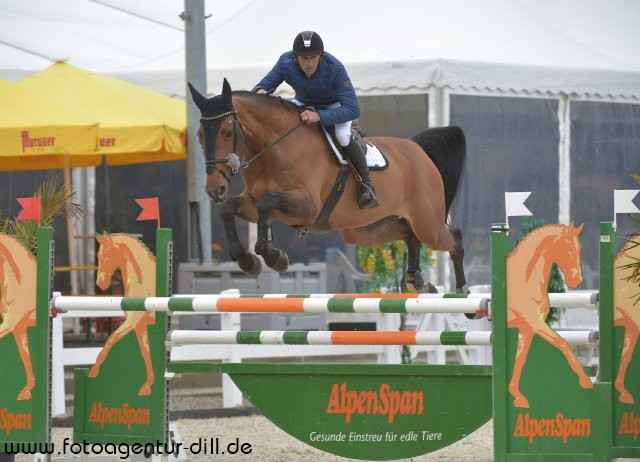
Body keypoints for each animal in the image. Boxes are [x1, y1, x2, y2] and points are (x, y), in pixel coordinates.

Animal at [89, 235, 158, 398]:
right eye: (97, 256)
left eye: (107, 256)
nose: (100, 284)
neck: (142, 281)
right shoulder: (140, 326)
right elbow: (146, 353)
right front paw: (147, 386)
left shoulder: (131, 322)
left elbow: (111, 339)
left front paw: (94, 371)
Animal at [188, 77, 468, 290]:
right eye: (199, 135)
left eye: (227, 132)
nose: (214, 189)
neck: (274, 149)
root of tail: (418, 150)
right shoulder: (252, 201)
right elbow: (230, 209)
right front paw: (248, 260)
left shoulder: (307, 207)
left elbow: (266, 204)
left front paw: (273, 256)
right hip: (365, 230)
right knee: (409, 234)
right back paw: (416, 279)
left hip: (427, 223)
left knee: (453, 238)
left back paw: (464, 293)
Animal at [504, 224, 592, 408]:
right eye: (567, 250)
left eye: (580, 249)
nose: (577, 281)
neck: (524, 280)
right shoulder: (535, 323)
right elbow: (562, 343)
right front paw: (585, 381)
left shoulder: (526, 328)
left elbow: (520, 359)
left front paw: (517, 396)